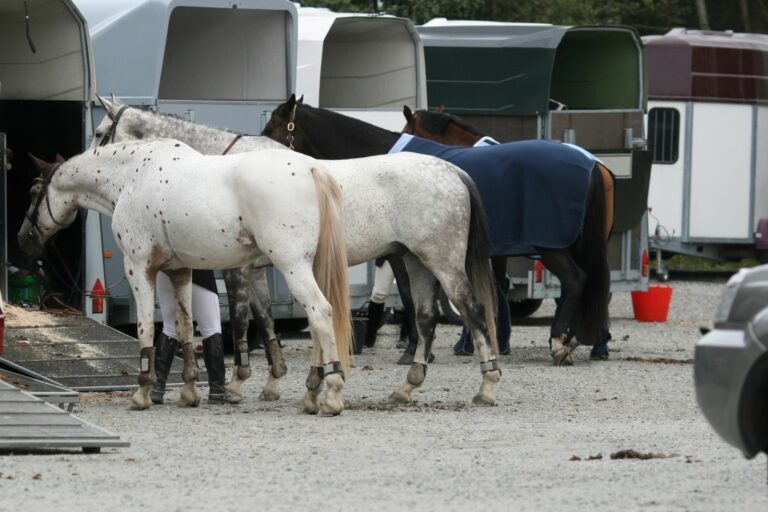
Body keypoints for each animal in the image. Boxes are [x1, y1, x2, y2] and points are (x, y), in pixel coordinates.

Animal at [17, 140, 353, 414]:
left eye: (33, 193)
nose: (23, 240)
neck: (132, 177)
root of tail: (312, 169)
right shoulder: (179, 271)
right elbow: (184, 327)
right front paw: (190, 391)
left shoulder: (138, 267)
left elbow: (145, 329)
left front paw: (142, 392)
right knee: (317, 322)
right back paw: (311, 396)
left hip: (292, 265)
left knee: (321, 313)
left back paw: (333, 393)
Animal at [92, 98, 502, 407]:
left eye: (99, 132)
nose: (91, 155)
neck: (221, 172)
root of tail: (453, 171)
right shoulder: (259, 268)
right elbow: (265, 319)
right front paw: (273, 381)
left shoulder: (239, 270)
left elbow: (240, 319)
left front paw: (239, 383)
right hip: (415, 261)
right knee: (427, 317)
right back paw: (407, 386)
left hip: (442, 263)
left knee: (472, 310)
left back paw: (486, 386)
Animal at [263, 95, 612, 365]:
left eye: (272, 128)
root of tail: (591, 165)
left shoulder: (400, 254)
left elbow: (409, 295)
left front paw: (416, 349)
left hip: (552, 245)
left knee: (575, 280)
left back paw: (559, 342)